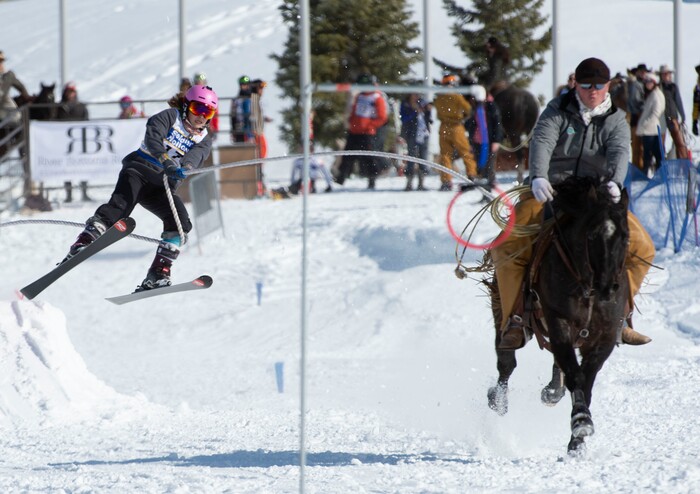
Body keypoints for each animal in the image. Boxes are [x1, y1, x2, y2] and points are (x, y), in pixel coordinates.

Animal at [487, 176, 631, 454]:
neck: (588, 288)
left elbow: (586, 380)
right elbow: (575, 374)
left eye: (625, 236)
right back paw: (498, 399)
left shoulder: (605, 335)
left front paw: (577, 439)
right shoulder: (558, 321)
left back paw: (553, 390)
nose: (608, 287)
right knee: (506, 361)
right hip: (504, 306)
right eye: (591, 235)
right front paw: (582, 421)